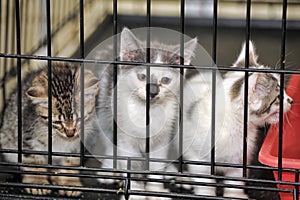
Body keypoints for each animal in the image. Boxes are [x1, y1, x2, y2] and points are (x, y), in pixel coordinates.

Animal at [0, 61, 99, 196]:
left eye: (79, 119)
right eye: (57, 122)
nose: (70, 133)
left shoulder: (79, 143)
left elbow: (71, 162)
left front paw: (69, 182)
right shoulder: (27, 137)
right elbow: (33, 160)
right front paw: (37, 181)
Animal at [92, 27, 197, 199]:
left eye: (166, 80)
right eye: (142, 76)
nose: (153, 92)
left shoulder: (163, 136)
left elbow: (157, 163)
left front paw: (156, 191)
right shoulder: (124, 138)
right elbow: (130, 164)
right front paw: (136, 193)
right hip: (102, 109)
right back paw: (110, 169)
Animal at [180, 41, 292, 198]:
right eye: (279, 97)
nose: (291, 100)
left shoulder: (240, 158)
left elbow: (236, 179)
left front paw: (235, 195)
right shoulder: (198, 158)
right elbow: (204, 180)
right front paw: (206, 193)